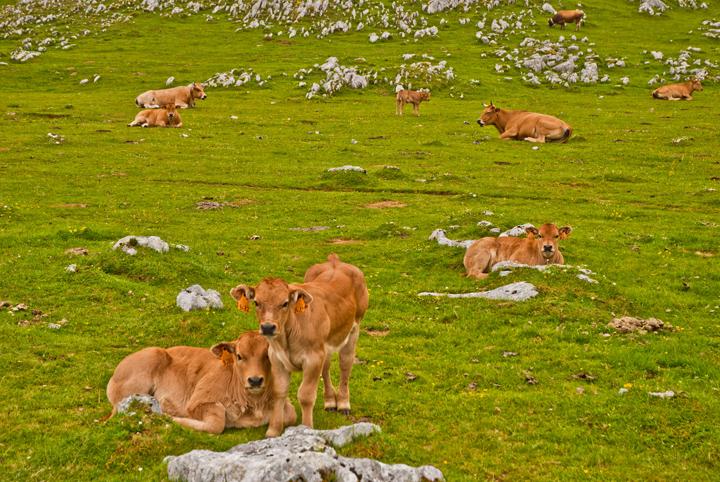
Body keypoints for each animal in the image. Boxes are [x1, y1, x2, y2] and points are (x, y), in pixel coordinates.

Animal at [105, 332, 296, 434]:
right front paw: (172, 417)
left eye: (268, 356)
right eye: (239, 356)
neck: (254, 406)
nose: (255, 380)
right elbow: (216, 424)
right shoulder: (197, 401)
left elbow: (292, 415)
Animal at [231, 254, 368, 438]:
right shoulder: (277, 359)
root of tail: (335, 261)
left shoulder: (312, 358)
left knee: (345, 365)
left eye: (285, 303)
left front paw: (306, 428)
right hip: (325, 345)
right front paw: (273, 431)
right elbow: (279, 392)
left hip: (354, 329)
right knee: (326, 367)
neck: (286, 340)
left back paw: (343, 403)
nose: (268, 327)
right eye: (257, 303)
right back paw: (330, 401)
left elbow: (306, 395)